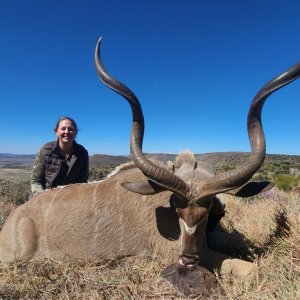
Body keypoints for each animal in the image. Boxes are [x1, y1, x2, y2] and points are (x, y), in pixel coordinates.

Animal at [0, 39, 300, 282]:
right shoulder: (172, 250)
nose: (188, 261)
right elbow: (250, 269)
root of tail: (15, 217)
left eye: (206, 213)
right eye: (177, 211)